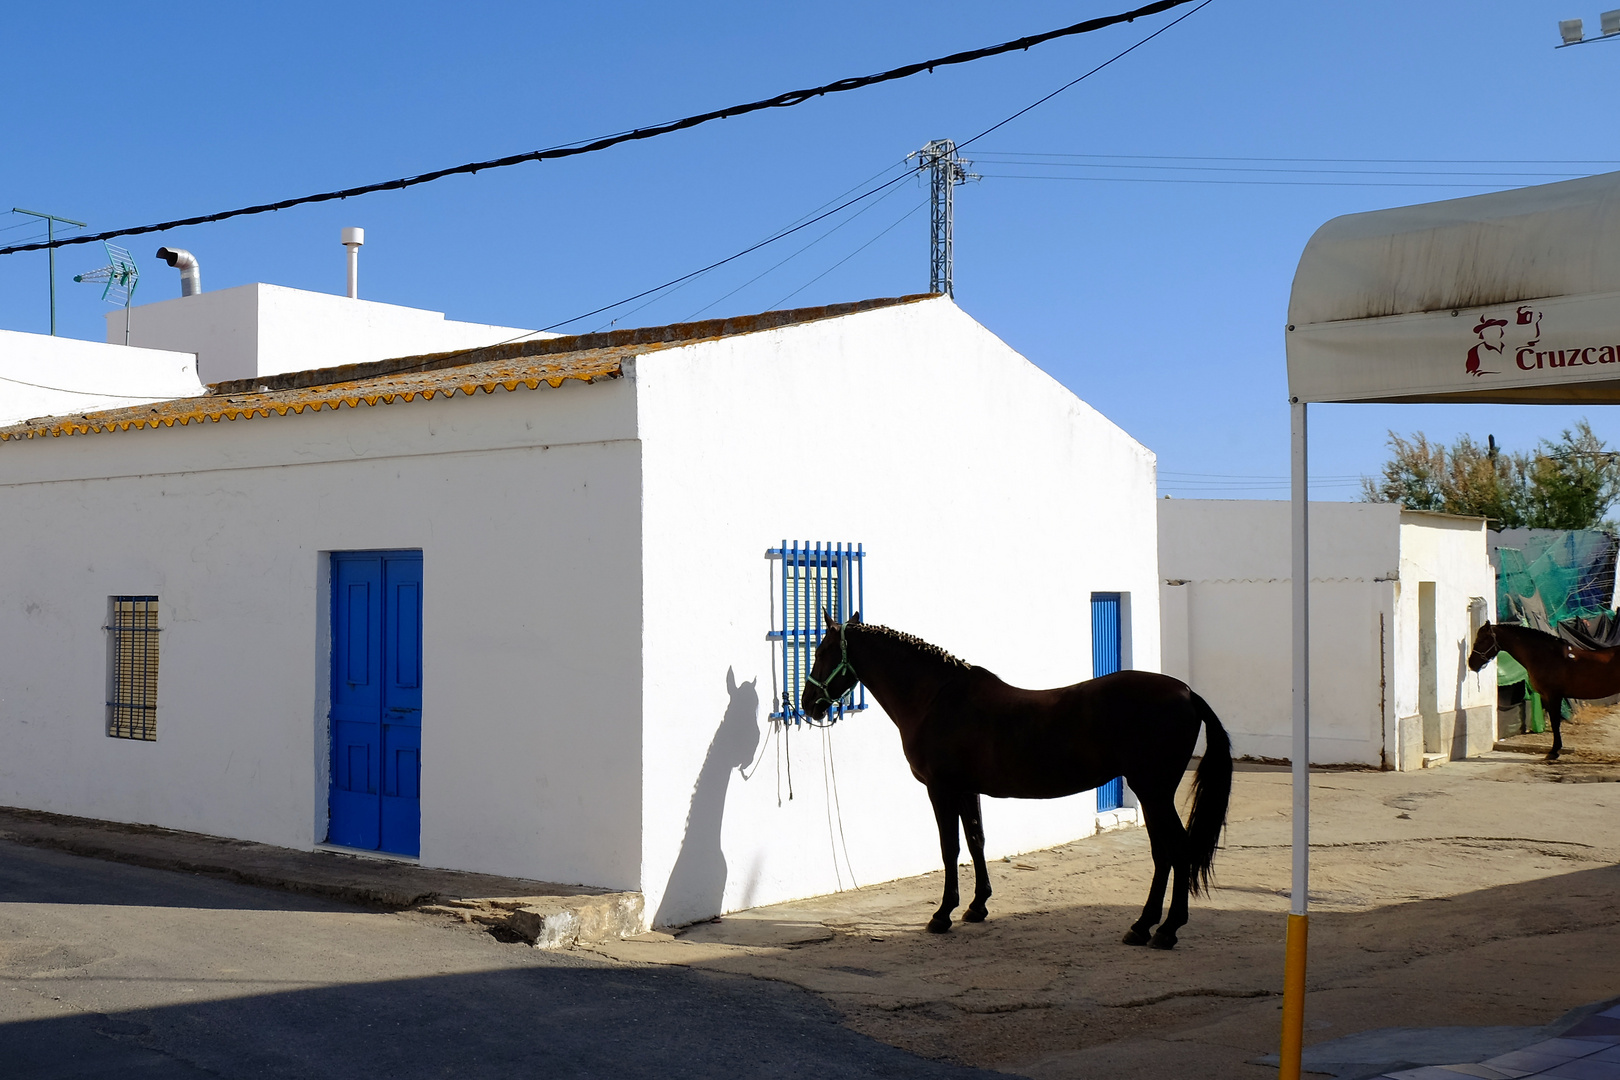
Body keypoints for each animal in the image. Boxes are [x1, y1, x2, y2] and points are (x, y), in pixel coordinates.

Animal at [803, 612, 1231, 952]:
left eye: (822, 651)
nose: (809, 704)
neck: (936, 699)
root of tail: (1187, 693)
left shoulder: (941, 789)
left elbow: (949, 847)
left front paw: (942, 914)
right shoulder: (967, 790)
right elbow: (976, 840)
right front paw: (977, 907)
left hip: (1153, 791)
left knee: (1176, 849)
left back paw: (1164, 930)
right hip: (1152, 793)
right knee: (1165, 853)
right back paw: (1145, 927)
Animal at [1464, 621, 1620, 764]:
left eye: (1482, 640)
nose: (1471, 663)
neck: (1547, 656)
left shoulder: (1554, 695)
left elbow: (1555, 722)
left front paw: (1553, 752)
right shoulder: (1546, 696)